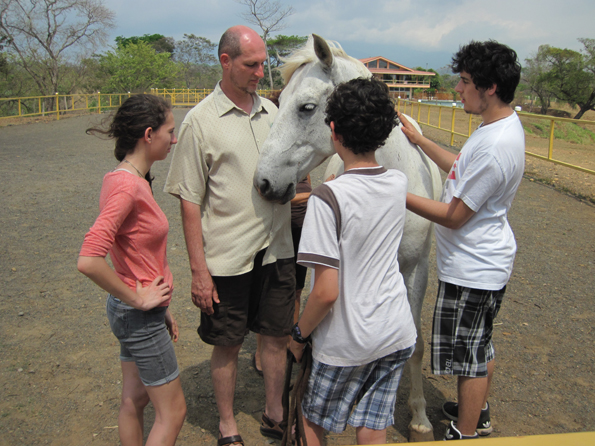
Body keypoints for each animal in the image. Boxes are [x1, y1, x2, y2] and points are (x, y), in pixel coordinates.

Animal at [254, 34, 444, 440]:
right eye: (280, 99)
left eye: (306, 107)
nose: (262, 183)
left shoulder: (416, 269)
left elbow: (418, 343)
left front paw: (420, 417)